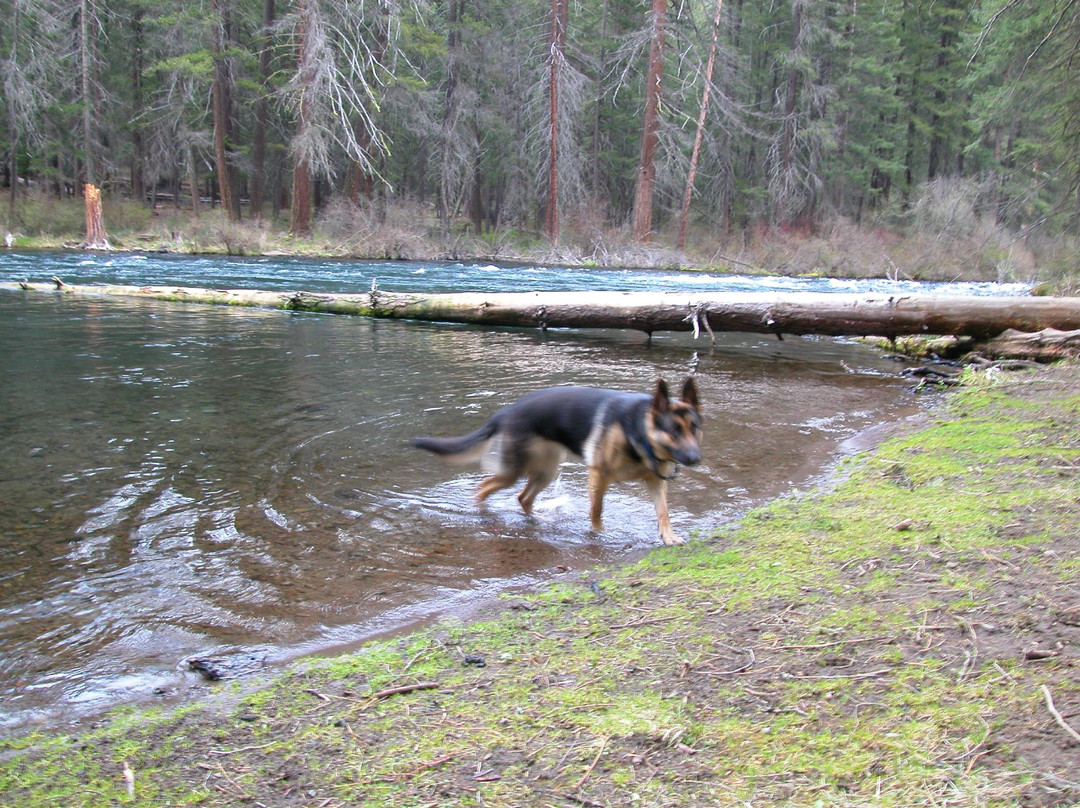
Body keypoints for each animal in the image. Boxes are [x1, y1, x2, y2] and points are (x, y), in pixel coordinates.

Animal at [410, 378, 699, 542]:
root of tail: (506, 412)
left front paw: (669, 537)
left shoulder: (656, 481)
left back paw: (540, 519)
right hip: (513, 473)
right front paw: (599, 534)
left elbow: (663, 512)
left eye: (694, 427)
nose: (696, 458)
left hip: (546, 472)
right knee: (482, 488)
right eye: (674, 430)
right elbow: (596, 509)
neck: (639, 431)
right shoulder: (599, 475)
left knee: (522, 498)